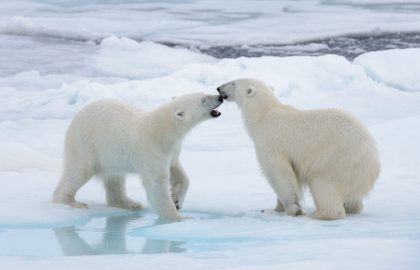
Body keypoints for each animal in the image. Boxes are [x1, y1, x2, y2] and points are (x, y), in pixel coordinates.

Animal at [53, 93, 223, 219]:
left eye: (204, 93)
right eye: (203, 99)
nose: (220, 96)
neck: (161, 131)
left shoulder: (171, 149)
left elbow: (177, 171)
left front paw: (176, 199)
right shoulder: (151, 150)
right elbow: (156, 184)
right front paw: (176, 217)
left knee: (115, 178)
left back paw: (130, 203)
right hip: (86, 144)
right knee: (78, 172)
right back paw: (69, 201)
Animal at [217, 78, 380, 219]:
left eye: (234, 83)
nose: (219, 88)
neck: (263, 115)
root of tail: (373, 166)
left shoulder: (271, 142)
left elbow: (278, 174)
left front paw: (292, 210)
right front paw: (275, 208)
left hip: (338, 161)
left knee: (323, 184)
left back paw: (316, 214)